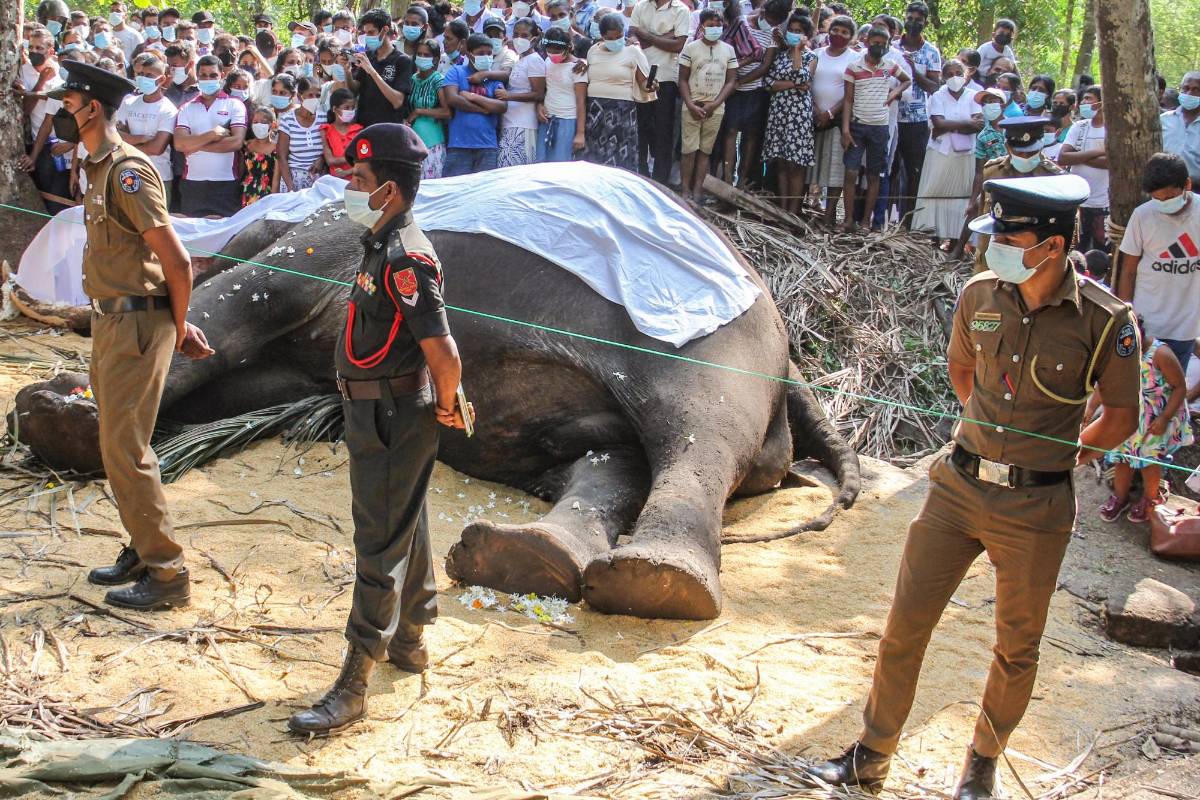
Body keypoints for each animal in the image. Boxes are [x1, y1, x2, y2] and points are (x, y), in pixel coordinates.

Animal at [13, 200, 860, 621]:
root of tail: (794, 356)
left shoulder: (315, 250)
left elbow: (232, 309)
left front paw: (58, 414)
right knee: (610, 453)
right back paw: (527, 559)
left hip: (716, 341)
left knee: (694, 430)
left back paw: (657, 581)